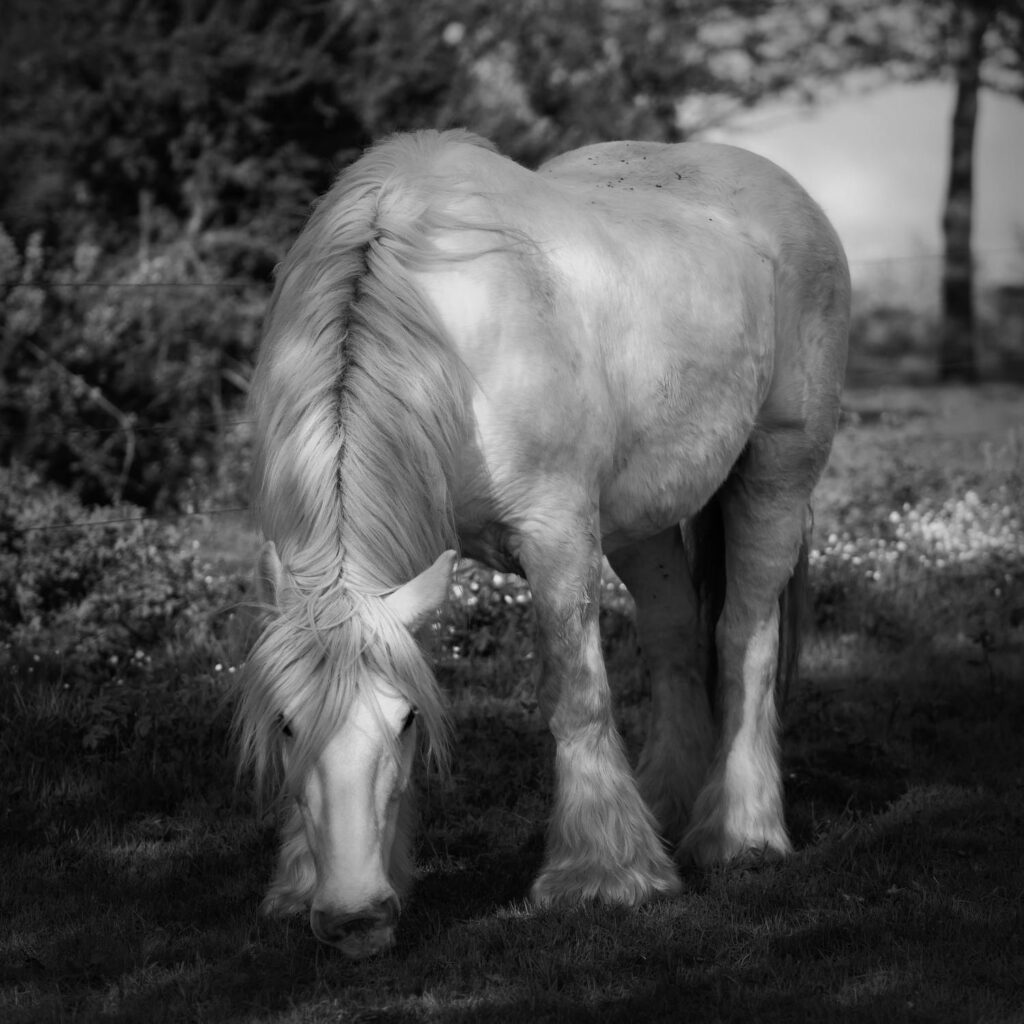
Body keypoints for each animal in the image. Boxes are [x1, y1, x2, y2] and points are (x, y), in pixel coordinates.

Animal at [236, 128, 850, 959]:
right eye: (287, 723)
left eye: (403, 723)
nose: (355, 919)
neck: (444, 330)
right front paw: (303, 883)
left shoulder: (557, 533)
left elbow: (576, 694)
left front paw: (601, 877)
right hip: (643, 523)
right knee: (675, 640)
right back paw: (662, 807)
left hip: (776, 477)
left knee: (744, 637)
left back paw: (741, 835)